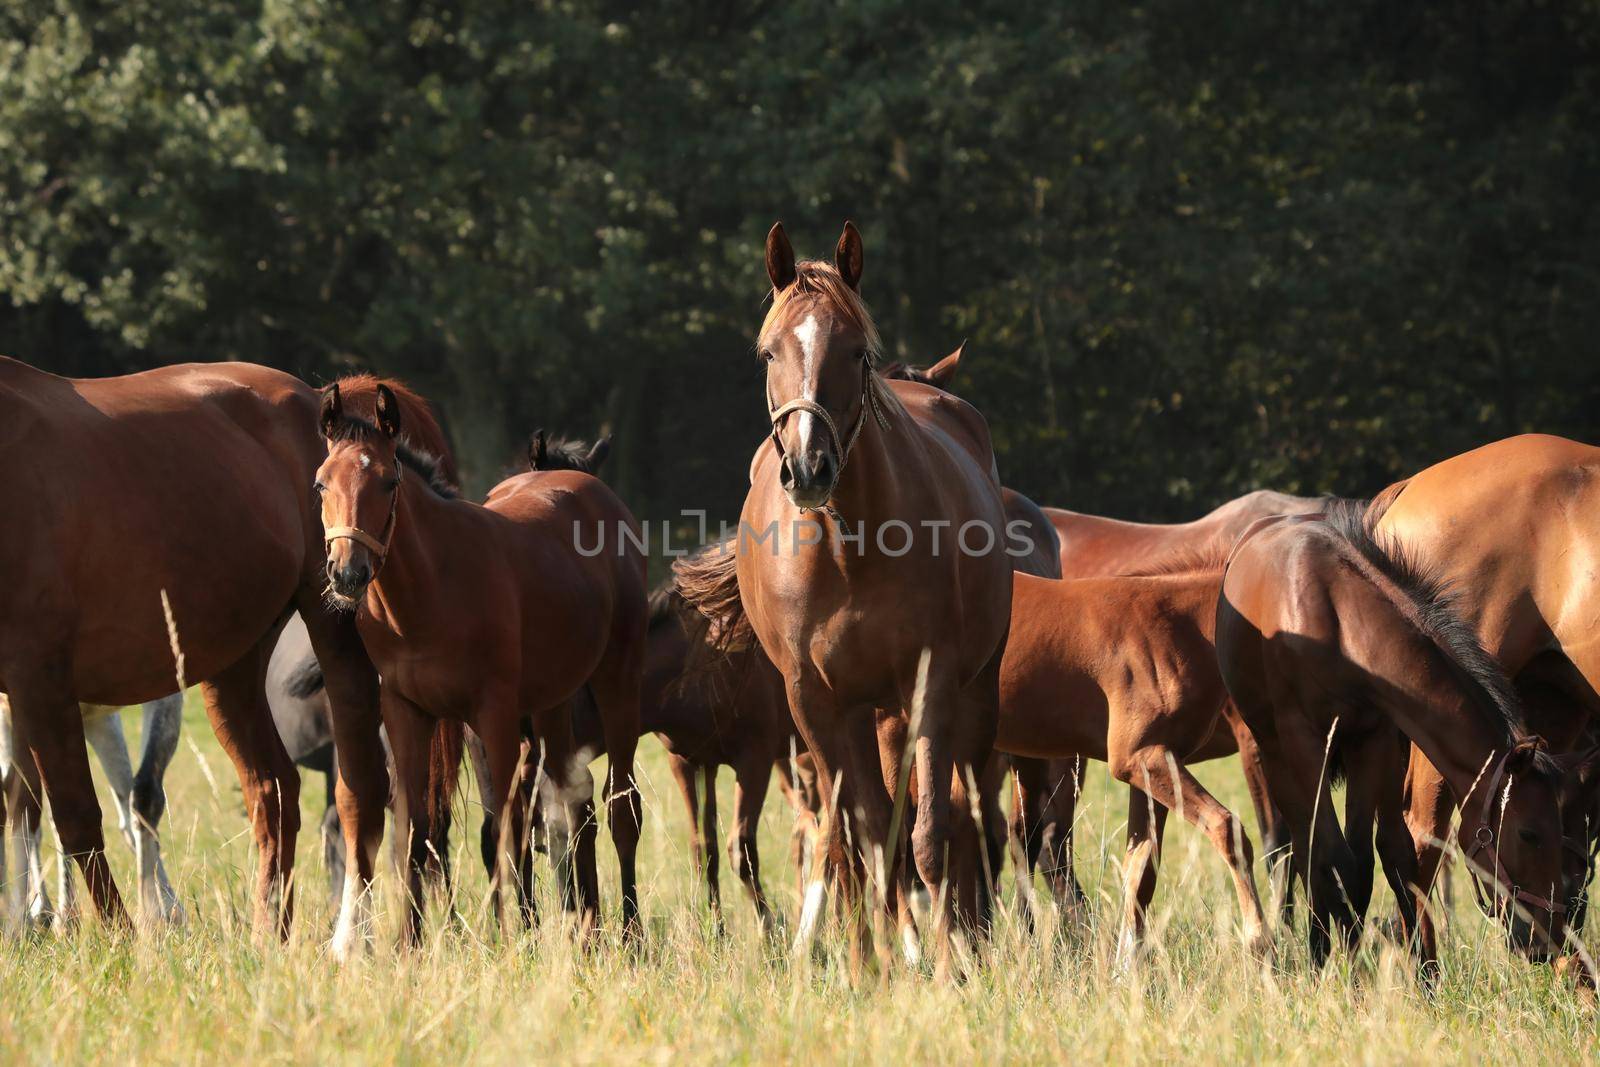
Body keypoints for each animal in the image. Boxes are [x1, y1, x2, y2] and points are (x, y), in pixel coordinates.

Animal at [315, 379, 646, 940]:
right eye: (321, 484)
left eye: (387, 482)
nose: (348, 573)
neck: (433, 589)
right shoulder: (408, 712)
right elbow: (416, 830)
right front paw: (408, 943)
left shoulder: (494, 717)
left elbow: (507, 831)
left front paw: (516, 939)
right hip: (553, 707)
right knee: (571, 809)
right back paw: (586, 931)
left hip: (618, 685)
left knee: (620, 809)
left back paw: (628, 933)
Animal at [678, 219, 1011, 966]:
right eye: (769, 350)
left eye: (855, 349)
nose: (808, 467)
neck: (849, 550)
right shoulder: (815, 702)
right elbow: (855, 840)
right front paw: (870, 967)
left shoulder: (930, 685)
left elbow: (928, 832)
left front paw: (946, 964)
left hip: (960, 697)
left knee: (962, 816)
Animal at [1216, 499, 1568, 966]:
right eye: (1529, 833)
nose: (1550, 939)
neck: (1336, 621)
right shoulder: (1305, 744)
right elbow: (1337, 860)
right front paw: (1347, 971)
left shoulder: (1374, 739)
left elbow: (1381, 861)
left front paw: (1425, 973)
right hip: (1276, 754)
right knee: (1306, 850)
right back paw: (1317, 952)